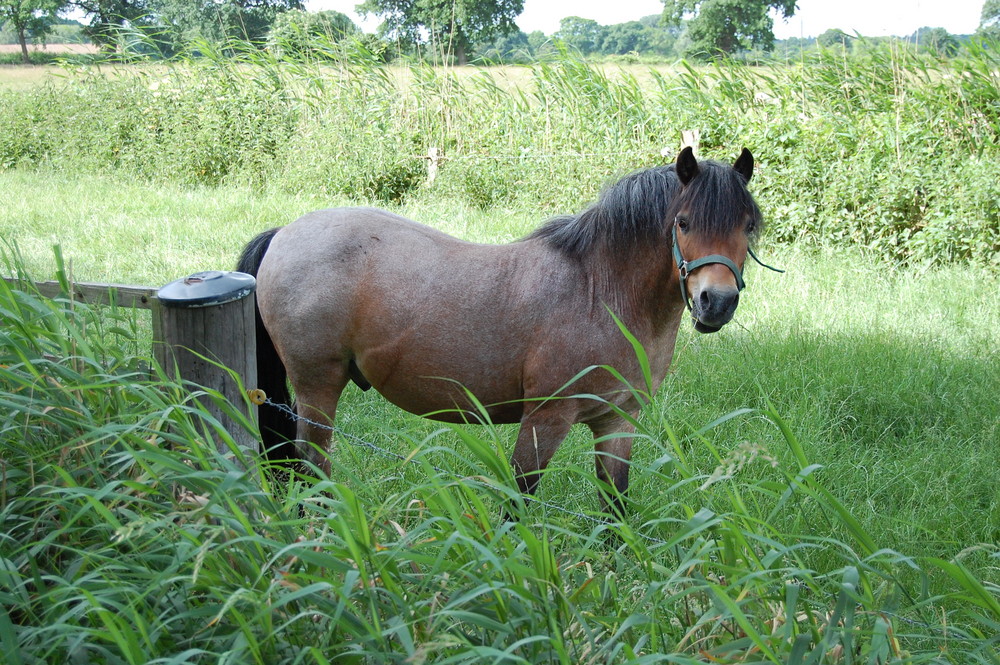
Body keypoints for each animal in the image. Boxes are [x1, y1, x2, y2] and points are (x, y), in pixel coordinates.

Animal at [240, 149, 764, 512]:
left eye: (747, 226)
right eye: (683, 222)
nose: (716, 302)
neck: (599, 291)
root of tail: (285, 233)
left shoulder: (618, 421)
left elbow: (614, 503)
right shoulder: (545, 419)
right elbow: (521, 499)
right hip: (318, 387)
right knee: (310, 462)